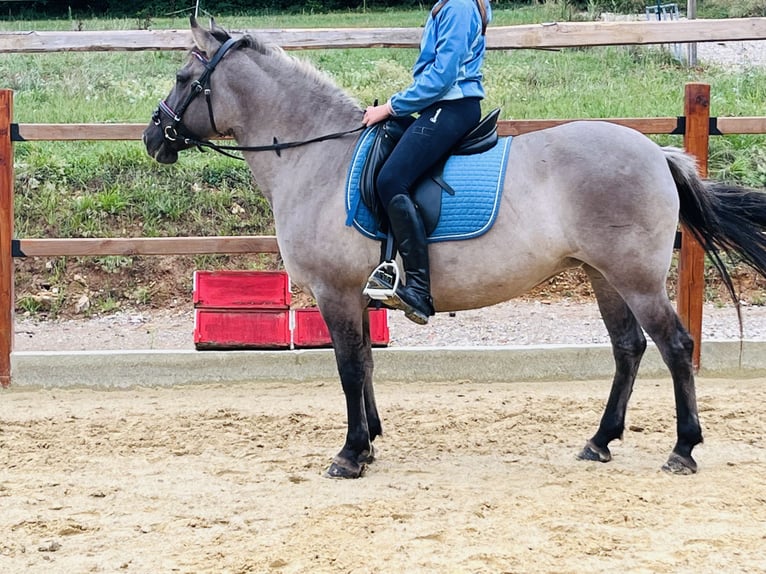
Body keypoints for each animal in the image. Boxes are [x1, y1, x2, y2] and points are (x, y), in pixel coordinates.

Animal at [142, 18, 766, 480]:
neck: (317, 156)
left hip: (634, 277)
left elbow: (348, 367)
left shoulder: (335, 292)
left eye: (182, 75)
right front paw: (370, 442)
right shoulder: (358, 296)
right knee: (628, 348)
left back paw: (683, 449)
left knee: (674, 346)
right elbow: (367, 364)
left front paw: (350, 454)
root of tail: (657, 152)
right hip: (602, 275)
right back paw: (600, 440)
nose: (153, 137)